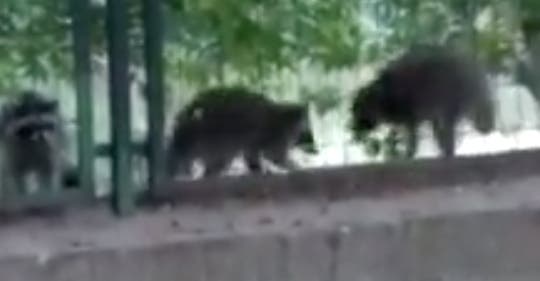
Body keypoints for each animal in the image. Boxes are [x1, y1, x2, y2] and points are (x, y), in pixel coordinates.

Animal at [352, 44, 496, 158]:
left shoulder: (409, 112)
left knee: (448, 120)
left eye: (359, 112)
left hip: (453, 92)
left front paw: (409, 153)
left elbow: (413, 135)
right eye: (354, 112)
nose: (354, 130)